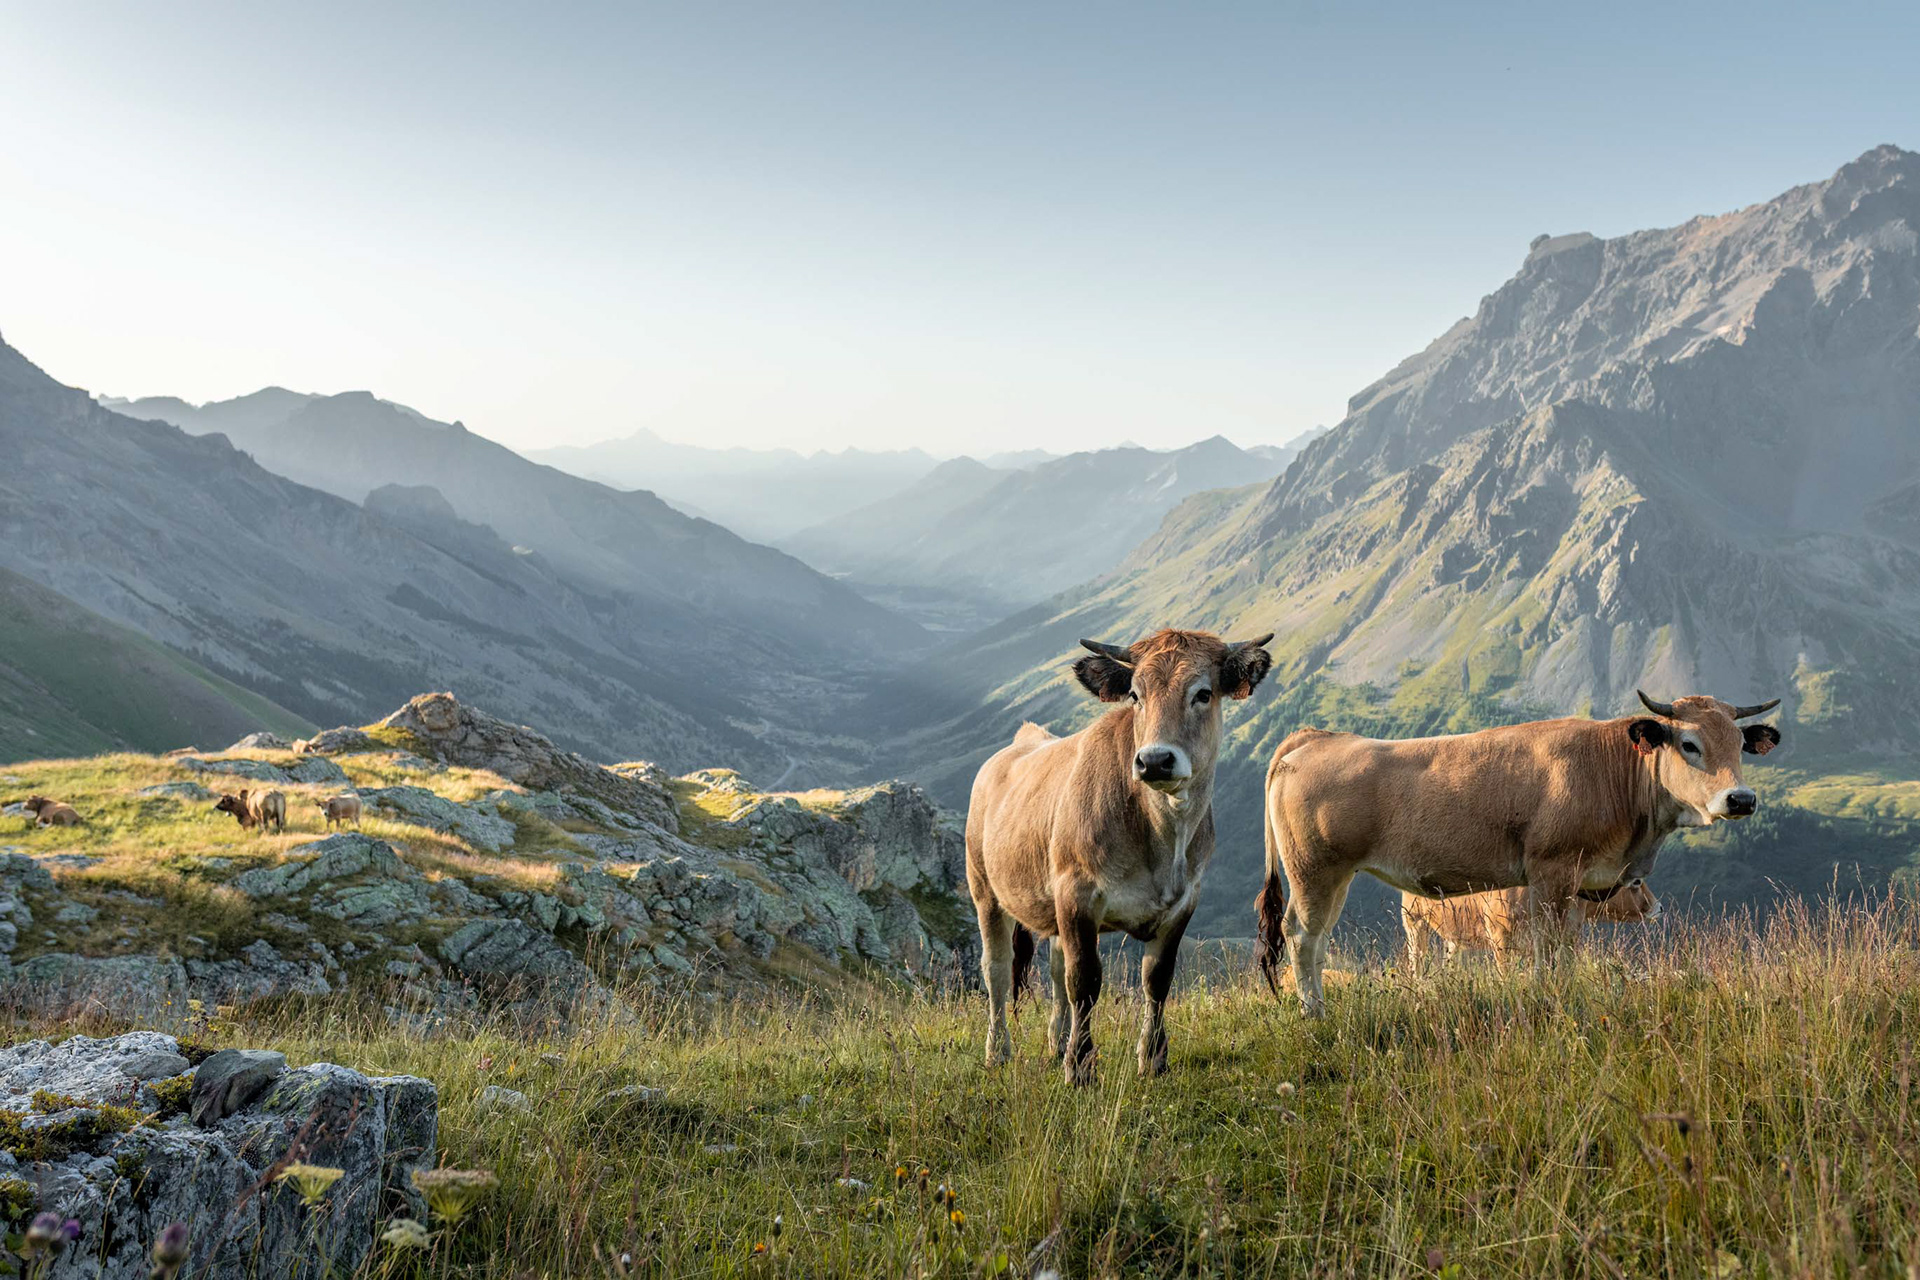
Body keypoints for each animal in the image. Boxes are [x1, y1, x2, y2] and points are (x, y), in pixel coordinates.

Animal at [966, 628, 1274, 1084]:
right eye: (1134, 694)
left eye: (1203, 693)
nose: (1155, 760)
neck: (1162, 841)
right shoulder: (1077, 894)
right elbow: (1085, 981)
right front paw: (1080, 1068)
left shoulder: (1185, 901)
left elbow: (1156, 979)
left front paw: (1153, 1058)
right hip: (985, 889)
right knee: (998, 971)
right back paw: (998, 1051)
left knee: (1055, 969)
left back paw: (1057, 1044)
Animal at [1401, 879, 1660, 974]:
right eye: (1636, 882)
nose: (1658, 906)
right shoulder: (1500, 935)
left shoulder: (1563, 936)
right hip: (1413, 919)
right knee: (1416, 959)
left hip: (1455, 934)